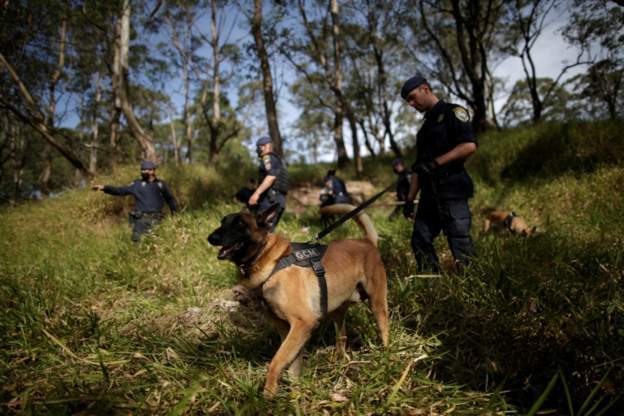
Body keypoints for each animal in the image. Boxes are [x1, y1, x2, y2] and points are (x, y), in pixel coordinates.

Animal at [207, 206, 388, 398]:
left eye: (240, 224)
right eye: (222, 222)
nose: (211, 238)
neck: (271, 262)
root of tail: (366, 242)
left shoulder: (302, 324)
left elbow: (276, 362)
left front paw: (267, 397)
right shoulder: (288, 329)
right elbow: (293, 367)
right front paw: (295, 396)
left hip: (378, 305)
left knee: (384, 330)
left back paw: (387, 357)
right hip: (338, 313)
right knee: (342, 338)